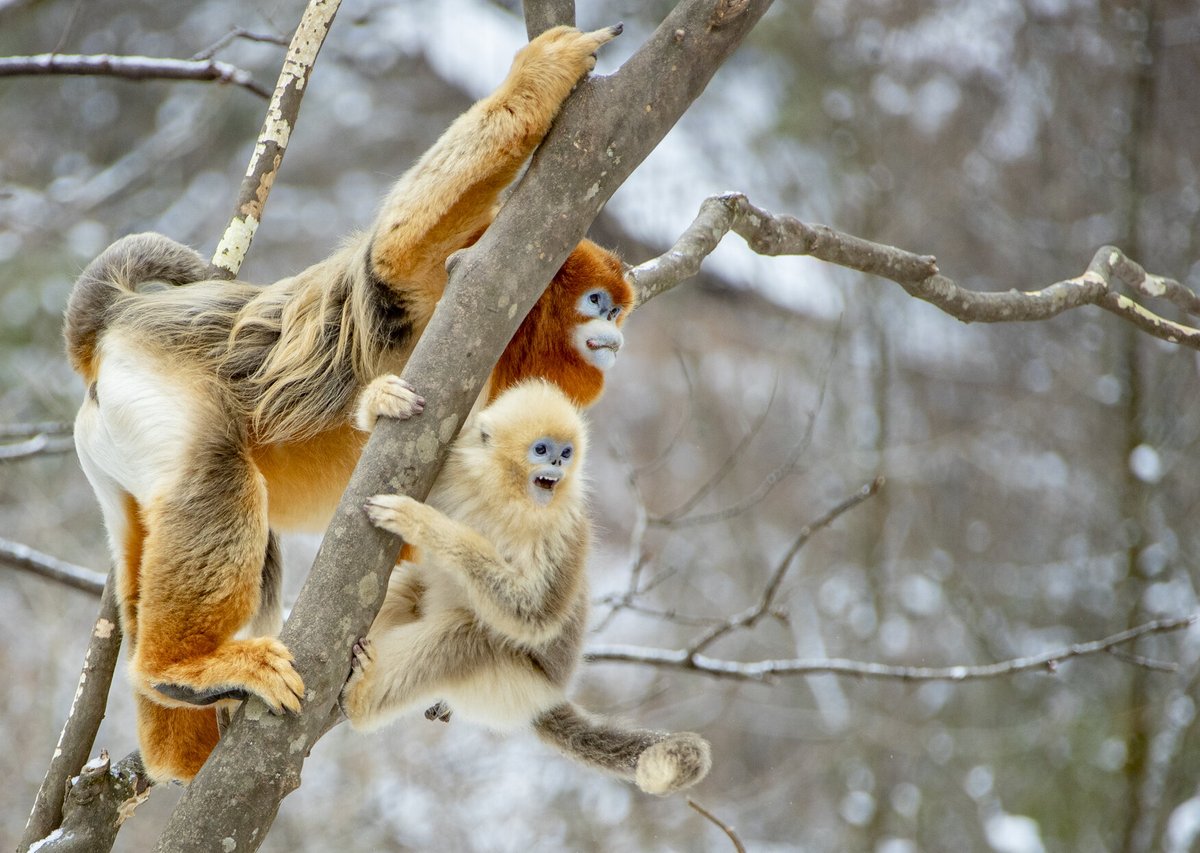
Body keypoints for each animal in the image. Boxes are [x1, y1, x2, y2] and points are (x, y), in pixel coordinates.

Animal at [63, 24, 628, 784]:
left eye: (620, 309)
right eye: (597, 304)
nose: (617, 334)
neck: (509, 343)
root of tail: (118, 321)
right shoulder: (460, 280)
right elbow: (396, 252)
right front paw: (538, 76)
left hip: (112, 454)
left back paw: (178, 737)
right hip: (152, 381)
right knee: (218, 479)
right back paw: (183, 668)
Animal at [339, 379, 712, 797]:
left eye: (566, 452)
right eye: (542, 449)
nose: (558, 465)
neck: (508, 497)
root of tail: (549, 698)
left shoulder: (562, 531)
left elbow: (535, 614)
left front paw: (421, 522)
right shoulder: (456, 471)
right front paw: (384, 399)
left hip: (514, 687)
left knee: (463, 638)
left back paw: (360, 699)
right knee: (407, 590)